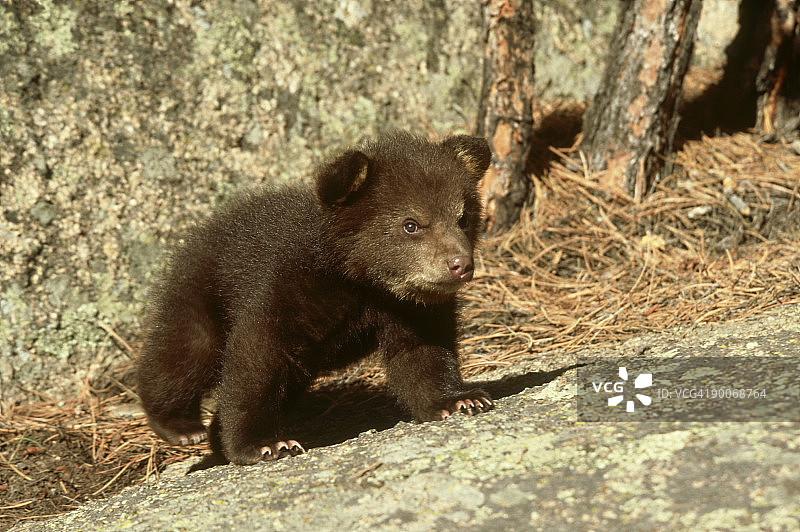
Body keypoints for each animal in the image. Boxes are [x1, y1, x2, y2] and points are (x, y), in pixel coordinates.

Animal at [136, 131, 494, 465]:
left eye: (463, 217)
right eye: (411, 224)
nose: (460, 265)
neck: (362, 281)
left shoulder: (410, 308)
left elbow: (422, 351)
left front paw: (460, 399)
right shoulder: (291, 287)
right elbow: (256, 357)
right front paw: (264, 443)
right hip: (202, 290)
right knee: (185, 352)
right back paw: (180, 425)